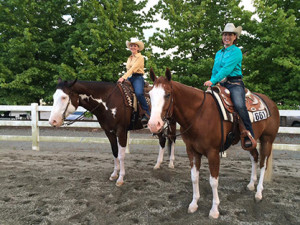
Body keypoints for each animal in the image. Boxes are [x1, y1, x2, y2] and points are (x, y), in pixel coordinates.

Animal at [48, 79, 177, 186]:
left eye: (64, 97)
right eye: (54, 96)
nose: (52, 121)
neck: (107, 101)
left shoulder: (121, 131)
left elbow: (121, 155)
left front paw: (120, 178)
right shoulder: (109, 132)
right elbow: (115, 152)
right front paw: (114, 174)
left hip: (170, 122)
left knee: (171, 138)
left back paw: (171, 163)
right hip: (157, 125)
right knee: (162, 140)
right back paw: (158, 164)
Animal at [149, 68, 280, 218]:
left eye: (168, 94)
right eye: (150, 95)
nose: (153, 125)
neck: (199, 115)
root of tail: (271, 103)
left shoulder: (213, 153)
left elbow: (213, 181)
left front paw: (214, 210)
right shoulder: (192, 151)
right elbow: (194, 177)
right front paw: (194, 204)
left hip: (267, 140)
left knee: (263, 163)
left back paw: (258, 193)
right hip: (249, 142)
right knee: (255, 157)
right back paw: (251, 184)